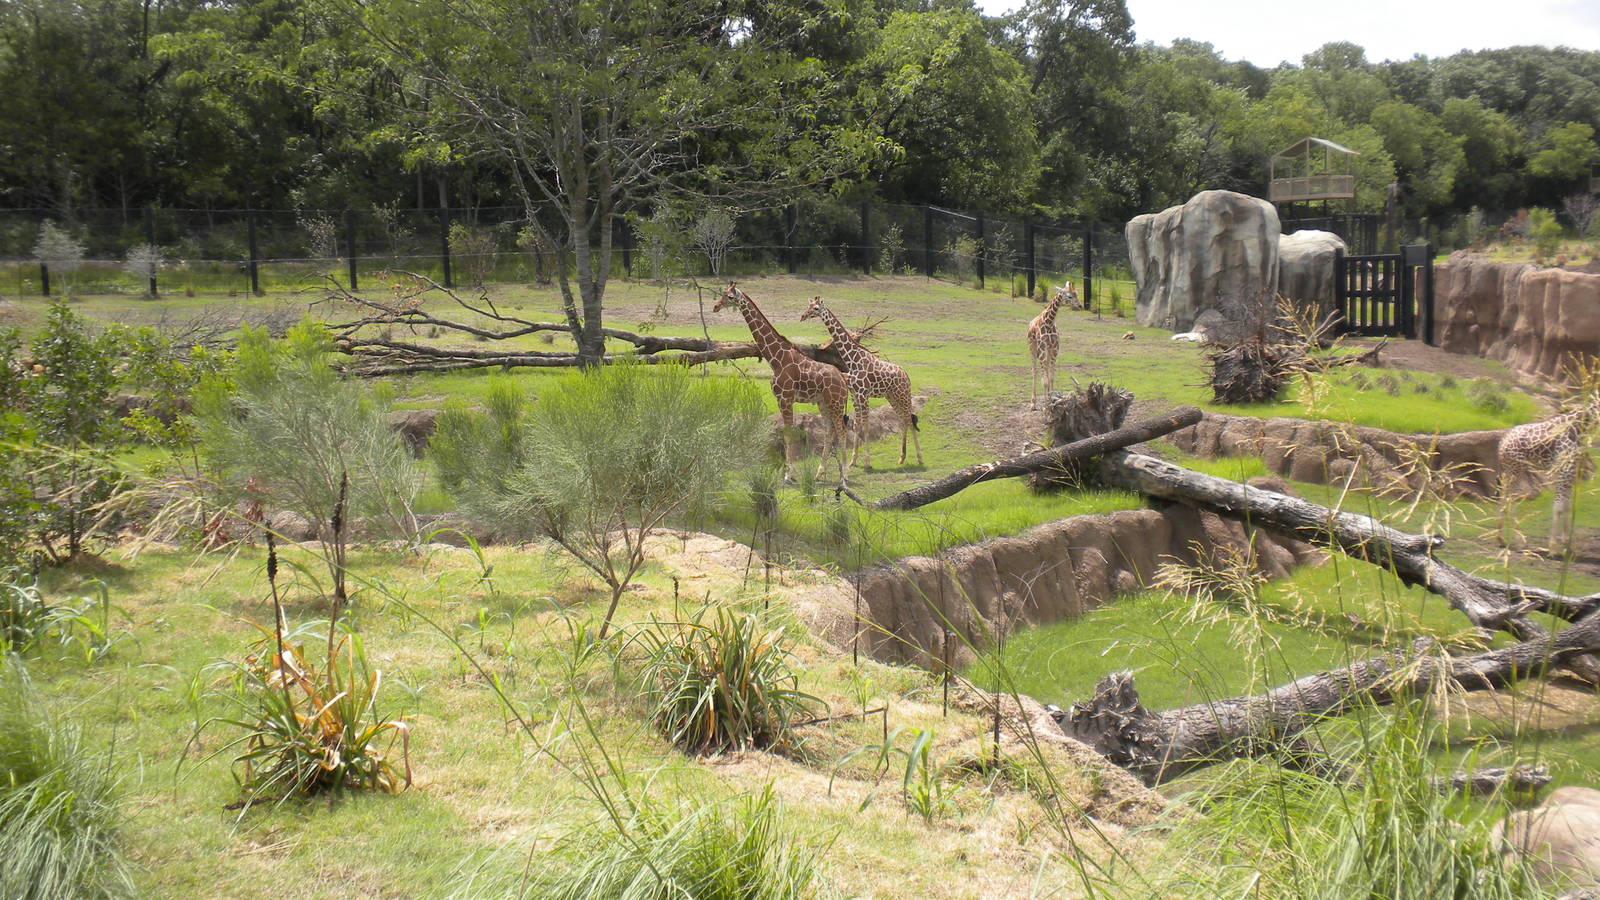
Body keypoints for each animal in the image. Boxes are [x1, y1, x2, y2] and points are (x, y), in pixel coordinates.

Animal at [713, 284, 850, 485]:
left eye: (730, 296)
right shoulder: (781, 398)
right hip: (823, 403)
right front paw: (789, 472)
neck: (775, 358)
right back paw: (819, 474)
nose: (716, 306)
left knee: (841, 432)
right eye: (722, 293)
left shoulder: (785, 398)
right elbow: (786, 433)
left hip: (836, 403)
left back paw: (845, 475)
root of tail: (843, 380)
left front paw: (789, 474)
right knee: (829, 431)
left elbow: (788, 433)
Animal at [799, 296, 923, 469]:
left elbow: (865, 424)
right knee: (903, 420)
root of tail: (906, 376)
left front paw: (867, 462)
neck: (853, 359)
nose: (803, 316)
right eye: (808, 306)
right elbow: (857, 424)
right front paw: (853, 460)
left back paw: (919, 458)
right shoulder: (855, 395)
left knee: (909, 420)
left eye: (816, 308)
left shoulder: (864, 394)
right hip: (892, 396)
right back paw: (901, 458)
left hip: (903, 395)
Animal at [1496, 391, 1600, 550]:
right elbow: (1558, 507)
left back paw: (1502, 538)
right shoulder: (1563, 470)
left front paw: (1566, 542)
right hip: (1515, 470)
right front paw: (1553, 546)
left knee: (1505, 497)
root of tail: (1501, 443)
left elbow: (1566, 506)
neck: (1578, 429)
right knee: (1509, 499)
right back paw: (1519, 541)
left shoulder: (1570, 471)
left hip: (1511, 471)